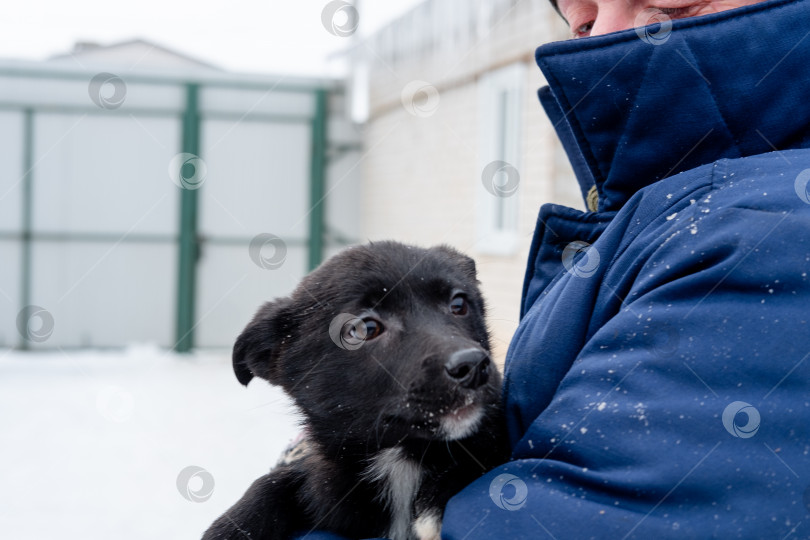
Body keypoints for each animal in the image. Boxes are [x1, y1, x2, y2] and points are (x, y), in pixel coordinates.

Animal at [202, 242, 504, 540]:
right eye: (364, 329)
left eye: (458, 305)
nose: (473, 365)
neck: (398, 459)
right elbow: (275, 481)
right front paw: (231, 527)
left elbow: (488, 449)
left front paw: (440, 496)